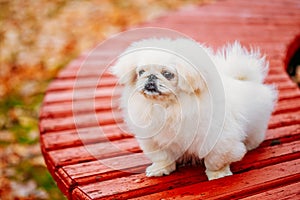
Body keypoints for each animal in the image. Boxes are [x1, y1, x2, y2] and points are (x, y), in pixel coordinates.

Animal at [111, 38, 278, 180]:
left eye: (168, 74)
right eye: (141, 72)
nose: (151, 77)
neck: (170, 107)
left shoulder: (218, 139)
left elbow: (215, 159)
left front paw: (218, 174)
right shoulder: (155, 140)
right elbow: (162, 157)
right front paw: (160, 169)